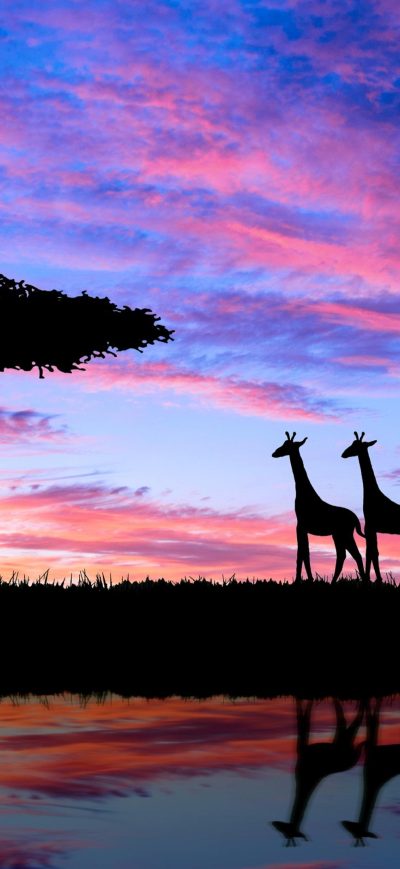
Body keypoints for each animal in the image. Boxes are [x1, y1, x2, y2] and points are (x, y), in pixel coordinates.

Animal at [272, 432, 366, 583]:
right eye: (283, 444)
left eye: (288, 446)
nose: (274, 453)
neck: (304, 493)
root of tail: (355, 519)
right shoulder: (302, 527)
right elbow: (304, 553)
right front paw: (307, 579)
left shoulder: (301, 526)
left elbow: (303, 554)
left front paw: (302, 580)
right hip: (338, 535)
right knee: (345, 555)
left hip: (344, 534)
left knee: (352, 554)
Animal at [272, 698, 363, 846]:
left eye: (287, 831)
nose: (279, 824)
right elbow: (303, 719)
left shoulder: (303, 749)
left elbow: (303, 719)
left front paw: (305, 702)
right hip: (344, 743)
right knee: (348, 721)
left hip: (344, 742)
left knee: (347, 718)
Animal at [342, 432, 400, 583]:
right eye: (352, 443)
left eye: (356, 446)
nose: (343, 454)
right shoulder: (371, 528)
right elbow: (374, 552)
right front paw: (376, 579)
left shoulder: (370, 527)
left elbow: (371, 552)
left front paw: (371, 579)